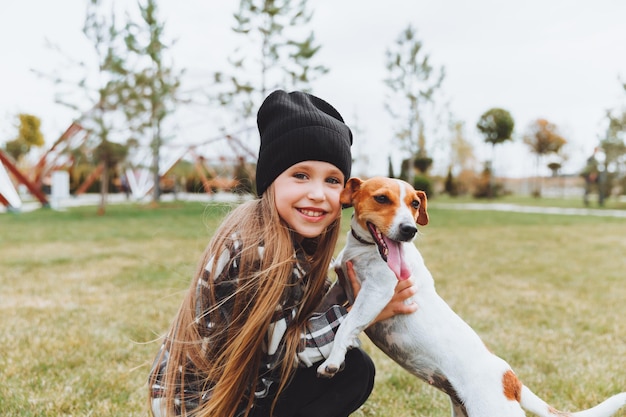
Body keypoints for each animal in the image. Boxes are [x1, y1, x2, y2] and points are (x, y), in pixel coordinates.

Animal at [316, 177, 624, 416]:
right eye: (381, 198)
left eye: (414, 204)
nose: (409, 230)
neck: (364, 250)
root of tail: (511, 380)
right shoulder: (341, 288)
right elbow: (323, 309)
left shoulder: (375, 293)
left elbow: (346, 324)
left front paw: (333, 361)